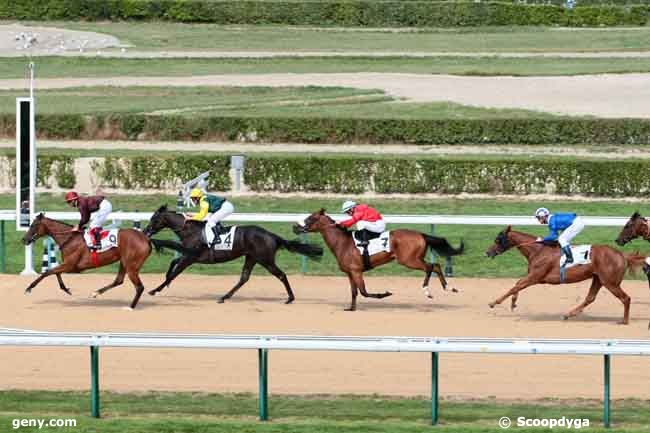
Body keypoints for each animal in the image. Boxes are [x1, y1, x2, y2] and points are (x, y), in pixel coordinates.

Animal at [20, 212, 152, 308]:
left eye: (33, 225)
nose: (24, 239)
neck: (69, 238)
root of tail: (145, 238)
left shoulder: (71, 266)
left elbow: (47, 272)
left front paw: (29, 288)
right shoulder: (68, 265)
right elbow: (55, 272)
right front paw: (66, 289)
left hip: (131, 266)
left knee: (139, 287)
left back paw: (130, 307)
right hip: (124, 262)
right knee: (119, 280)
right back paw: (96, 293)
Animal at [144, 204, 322, 302]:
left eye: (154, 219)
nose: (146, 231)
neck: (191, 230)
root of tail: (272, 235)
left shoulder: (190, 257)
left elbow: (176, 272)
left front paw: (155, 289)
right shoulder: (188, 255)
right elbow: (173, 264)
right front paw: (165, 281)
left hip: (265, 260)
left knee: (281, 275)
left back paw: (290, 298)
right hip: (252, 258)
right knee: (244, 278)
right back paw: (224, 297)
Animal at [292, 208, 464, 310]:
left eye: (310, 218)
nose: (295, 227)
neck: (342, 243)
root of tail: (421, 234)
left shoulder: (357, 271)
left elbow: (364, 292)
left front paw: (385, 294)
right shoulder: (350, 272)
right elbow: (354, 292)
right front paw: (351, 308)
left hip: (409, 260)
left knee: (430, 267)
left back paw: (427, 291)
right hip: (414, 259)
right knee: (436, 265)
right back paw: (449, 287)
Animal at [484, 226, 644, 324]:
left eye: (498, 239)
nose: (487, 252)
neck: (538, 250)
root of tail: (622, 255)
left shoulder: (535, 277)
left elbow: (516, 286)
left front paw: (494, 302)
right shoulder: (535, 278)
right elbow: (517, 285)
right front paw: (513, 302)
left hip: (610, 282)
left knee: (626, 298)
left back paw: (624, 320)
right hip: (598, 279)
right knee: (590, 298)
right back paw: (568, 314)